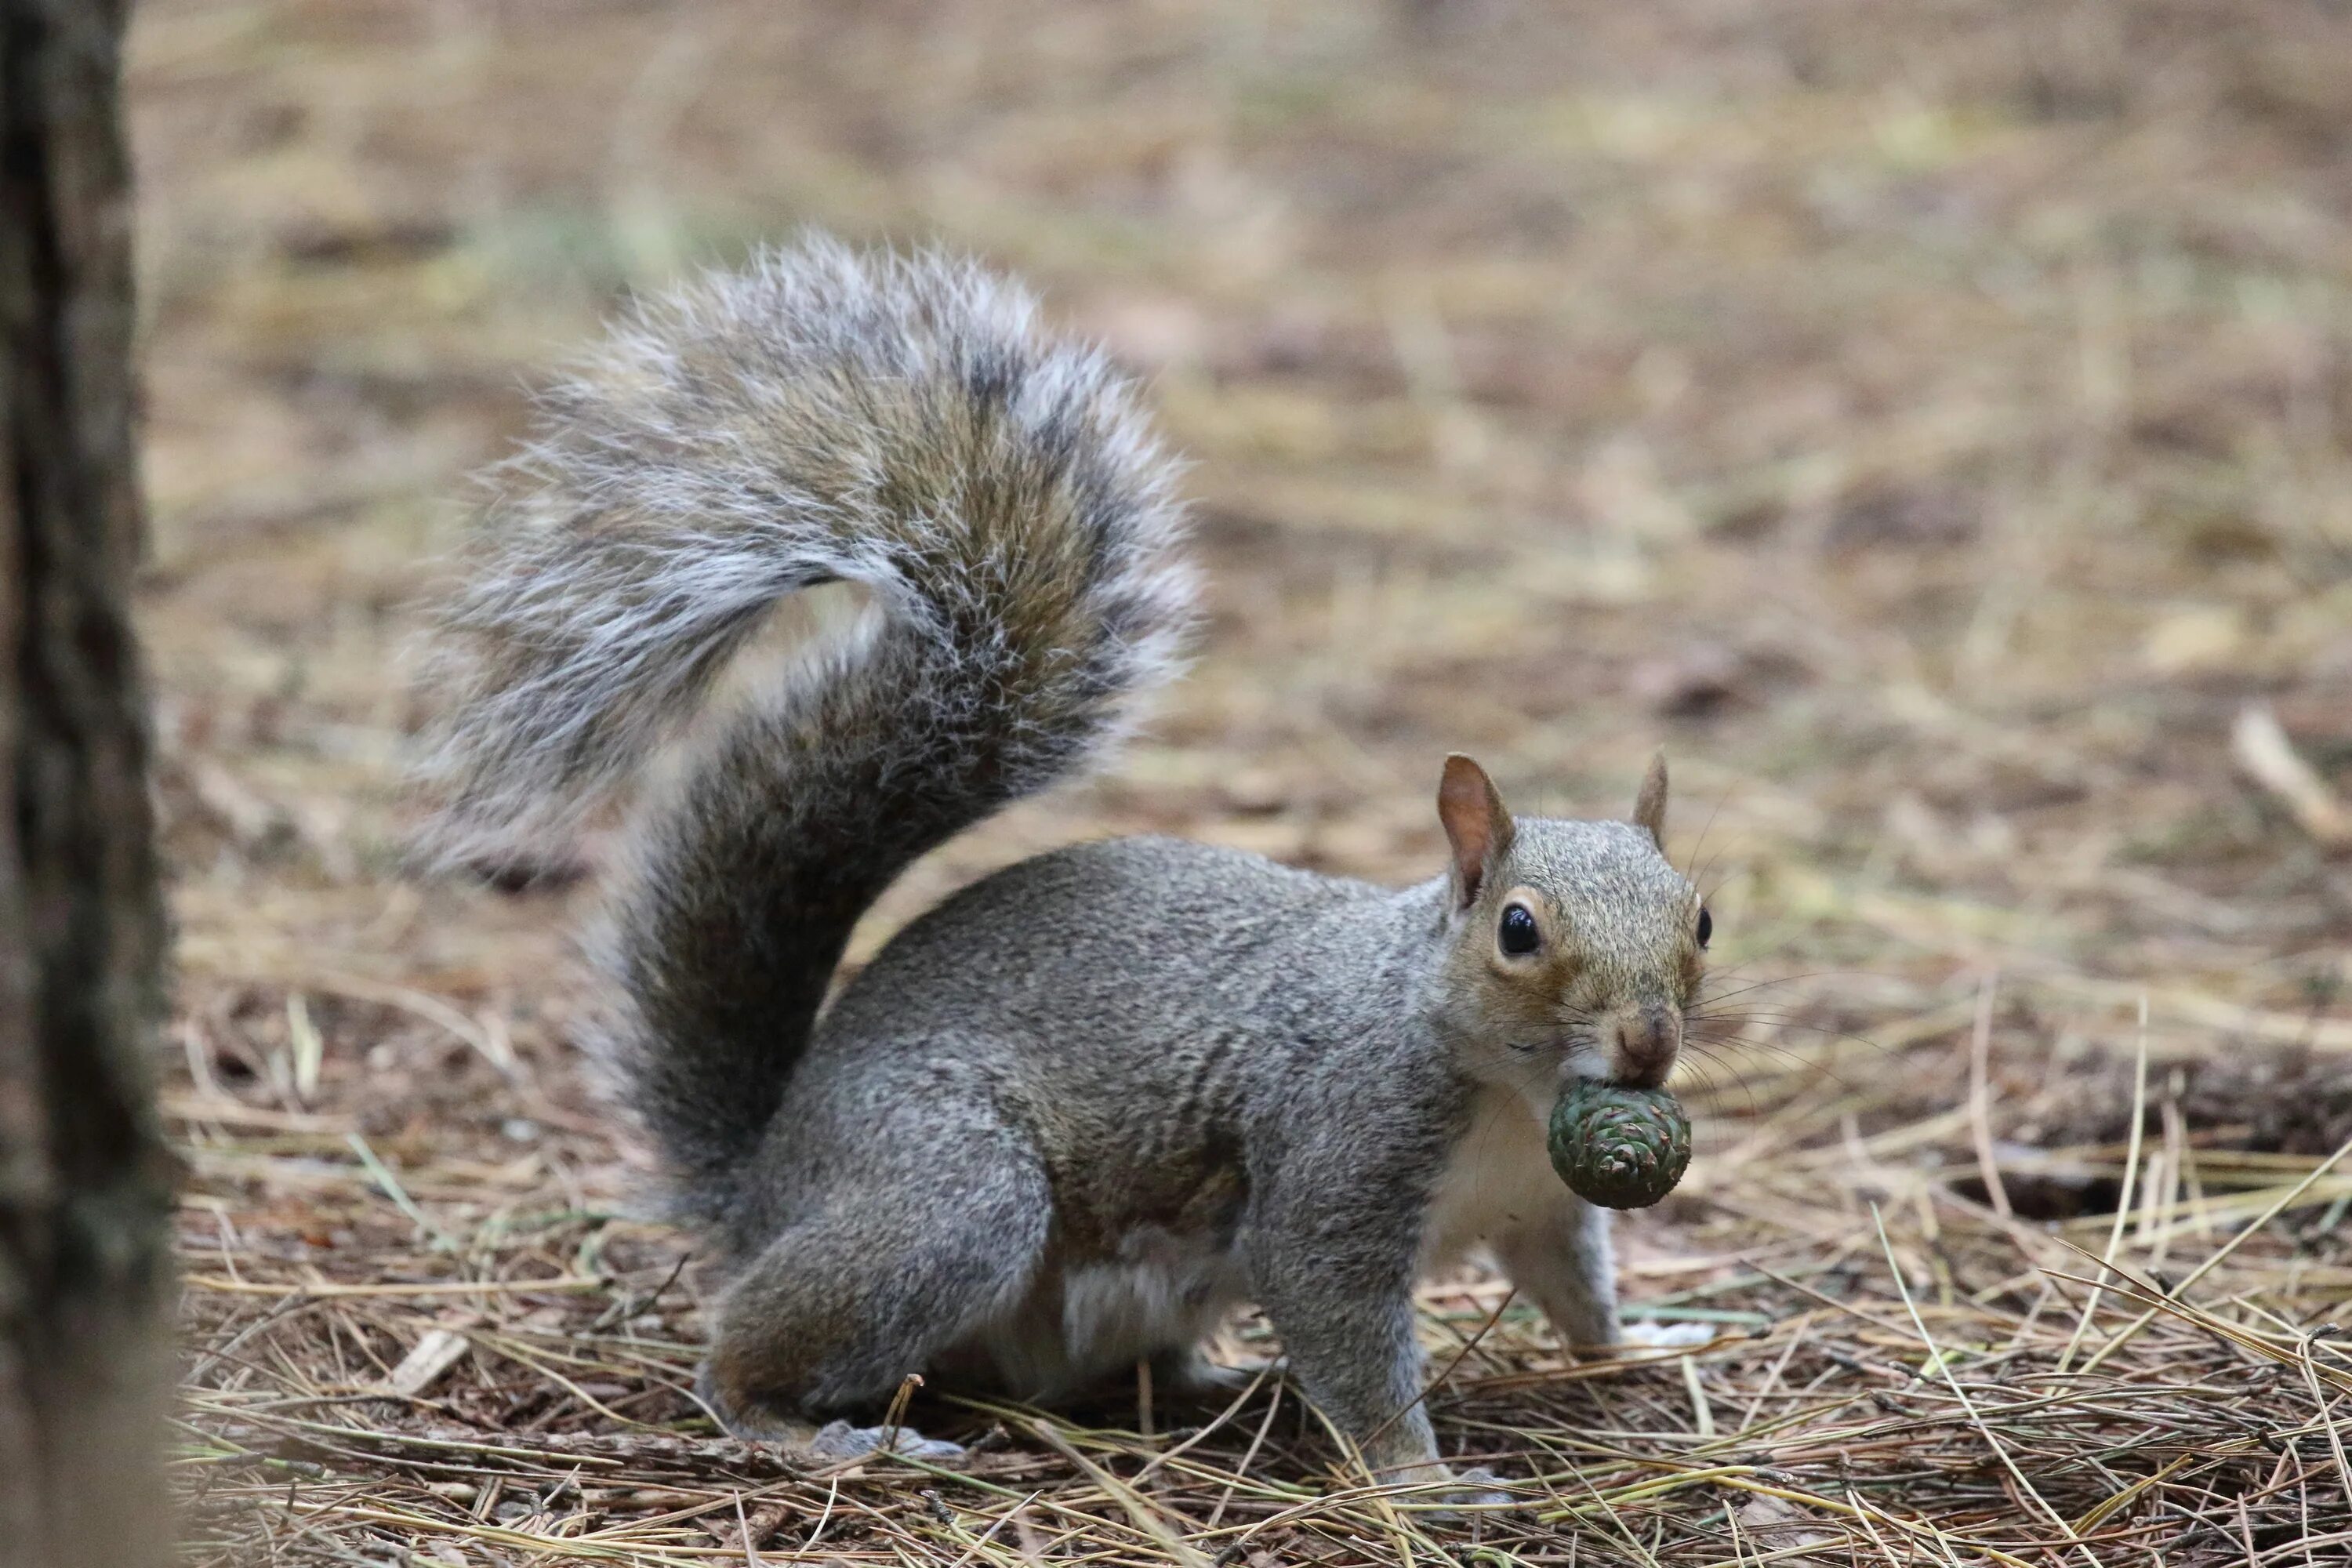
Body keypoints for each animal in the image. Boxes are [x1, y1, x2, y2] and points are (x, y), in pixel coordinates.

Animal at [419, 239, 1712, 1495]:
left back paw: (1216, 1385)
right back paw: (813, 1432)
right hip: (948, 1194)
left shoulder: (1544, 1206)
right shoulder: (1338, 1154)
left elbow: (1575, 1293)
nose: (1649, 1042)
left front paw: (1645, 1342)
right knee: (747, 1343)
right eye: (1518, 930)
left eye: (1700, 920)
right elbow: (1339, 1317)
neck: (1508, 1093)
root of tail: (769, 1179)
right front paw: (1421, 1481)